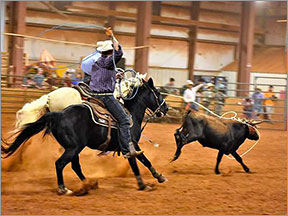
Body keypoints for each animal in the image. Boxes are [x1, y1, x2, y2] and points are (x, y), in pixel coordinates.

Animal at [1, 78, 169, 196]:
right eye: (158, 93)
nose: (166, 109)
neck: (131, 115)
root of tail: (59, 114)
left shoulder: (130, 146)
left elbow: (143, 161)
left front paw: (158, 177)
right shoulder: (129, 145)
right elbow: (138, 162)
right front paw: (144, 185)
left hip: (74, 148)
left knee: (75, 166)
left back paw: (89, 184)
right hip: (74, 147)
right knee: (60, 163)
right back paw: (64, 189)